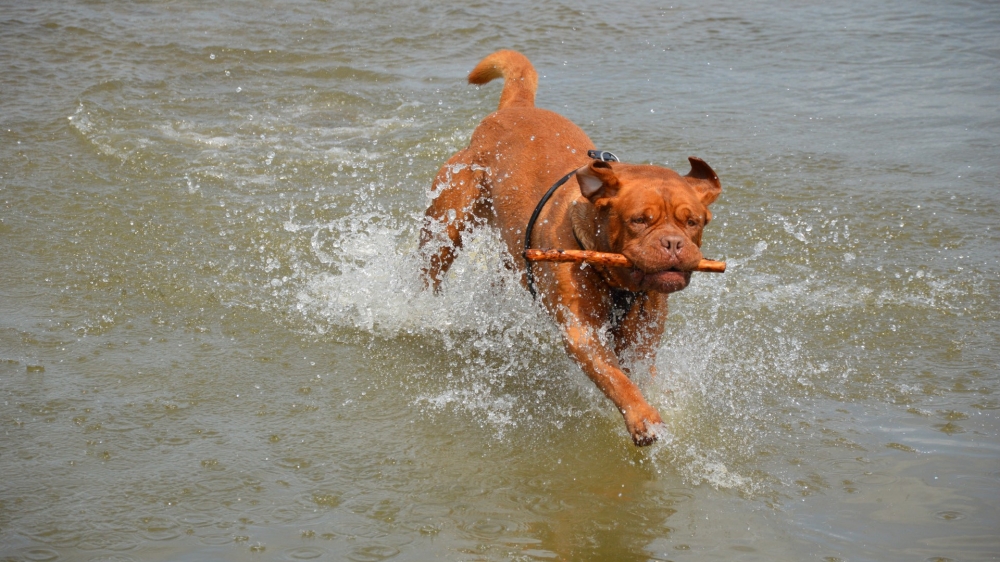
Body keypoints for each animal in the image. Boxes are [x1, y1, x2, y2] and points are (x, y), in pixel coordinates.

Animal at [418, 52, 724, 446]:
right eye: (639, 220)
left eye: (693, 222)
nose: (672, 243)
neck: (616, 280)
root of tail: (514, 109)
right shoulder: (582, 331)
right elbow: (616, 379)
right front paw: (642, 418)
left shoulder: (643, 334)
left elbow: (636, 371)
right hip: (443, 228)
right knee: (431, 268)